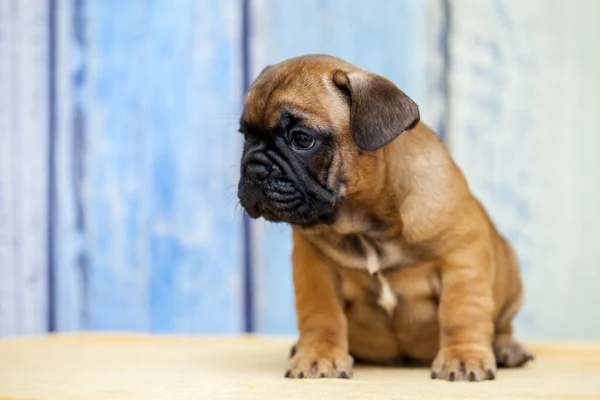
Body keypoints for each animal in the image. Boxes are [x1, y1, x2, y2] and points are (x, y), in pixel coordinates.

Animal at [237, 54, 532, 382]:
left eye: (301, 140)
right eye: (245, 135)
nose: (254, 169)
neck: (366, 225)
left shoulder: (462, 258)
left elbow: (461, 312)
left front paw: (463, 357)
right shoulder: (315, 267)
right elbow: (322, 314)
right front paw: (318, 356)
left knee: (502, 324)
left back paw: (506, 349)